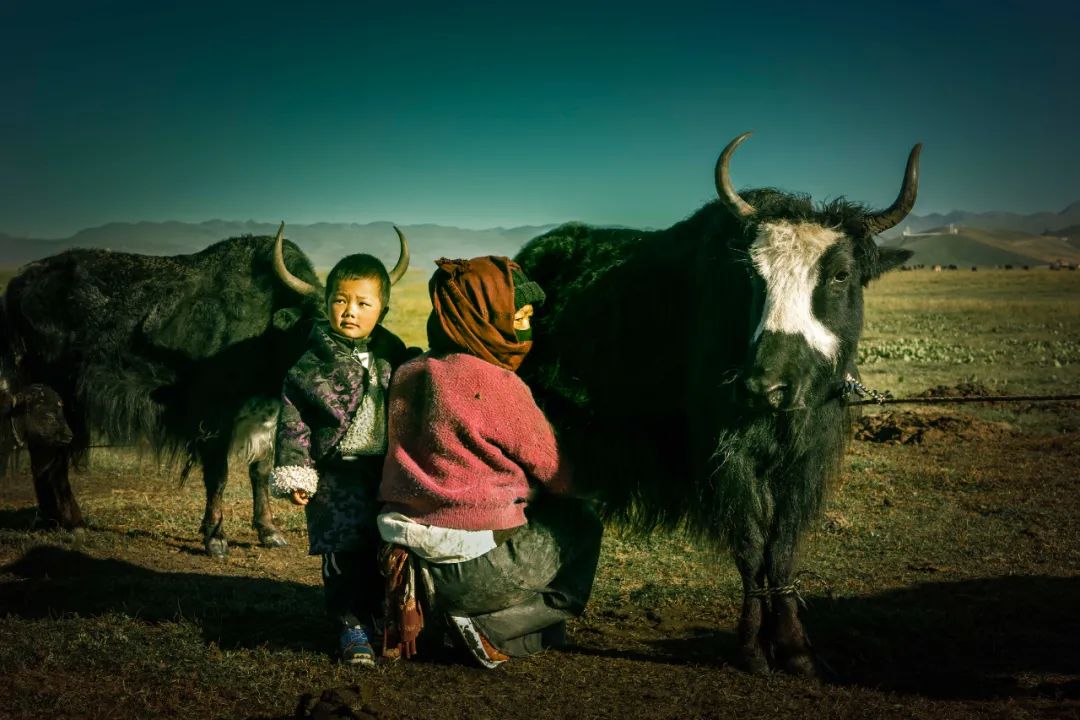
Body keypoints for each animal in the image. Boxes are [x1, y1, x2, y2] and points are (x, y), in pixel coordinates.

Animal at [0, 225, 408, 556]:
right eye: (315, 326)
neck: (266, 330)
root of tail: (19, 282)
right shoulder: (214, 416)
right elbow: (219, 473)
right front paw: (215, 537)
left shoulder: (266, 414)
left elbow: (260, 469)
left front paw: (269, 532)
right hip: (53, 390)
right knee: (48, 450)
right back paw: (71, 522)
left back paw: (58, 520)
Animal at [514, 132, 918, 677]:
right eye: (752, 277)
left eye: (839, 275)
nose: (764, 388)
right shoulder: (726, 457)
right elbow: (749, 545)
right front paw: (752, 649)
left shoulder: (804, 460)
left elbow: (782, 547)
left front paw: (794, 648)